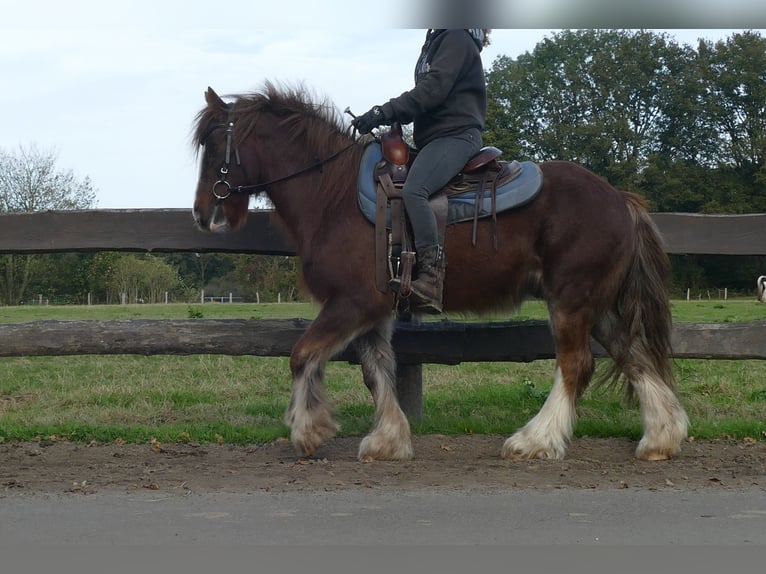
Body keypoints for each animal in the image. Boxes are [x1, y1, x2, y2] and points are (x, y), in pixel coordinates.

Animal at [190, 83, 688, 464]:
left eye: (214, 146)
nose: (202, 214)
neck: (333, 196)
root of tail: (621, 199)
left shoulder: (352, 303)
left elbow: (302, 354)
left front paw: (308, 430)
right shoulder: (373, 311)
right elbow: (377, 371)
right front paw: (389, 439)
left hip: (570, 300)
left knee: (576, 364)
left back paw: (535, 440)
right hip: (597, 305)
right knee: (634, 356)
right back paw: (661, 438)